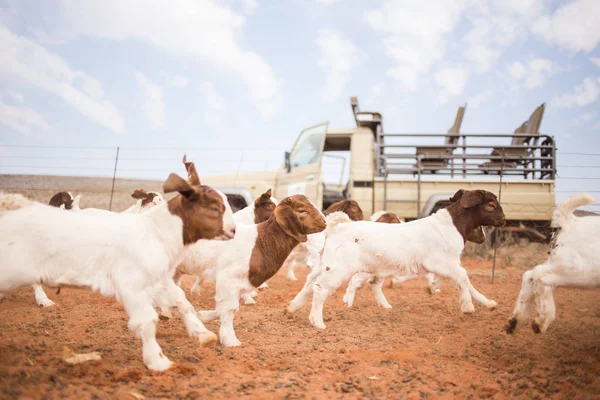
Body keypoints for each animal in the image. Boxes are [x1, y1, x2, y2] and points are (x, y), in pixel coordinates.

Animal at [0, 158, 237, 370]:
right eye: (214, 208)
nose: (233, 230)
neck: (154, 230)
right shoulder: (130, 284)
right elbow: (147, 319)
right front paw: (156, 360)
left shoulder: (157, 278)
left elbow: (181, 300)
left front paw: (201, 333)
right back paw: (43, 300)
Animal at [288, 189, 504, 330]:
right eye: (491, 205)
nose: (503, 219)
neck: (449, 225)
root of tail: (337, 227)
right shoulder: (440, 263)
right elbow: (463, 277)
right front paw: (468, 307)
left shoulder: (446, 264)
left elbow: (464, 281)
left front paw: (489, 303)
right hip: (338, 269)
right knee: (319, 288)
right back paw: (317, 322)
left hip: (326, 265)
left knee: (310, 282)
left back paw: (292, 307)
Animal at [504, 194, 596, 334]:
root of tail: (569, 221)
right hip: (578, 271)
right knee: (540, 274)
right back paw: (542, 321)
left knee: (530, 275)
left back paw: (515, 321)